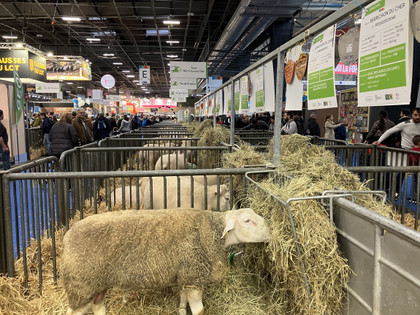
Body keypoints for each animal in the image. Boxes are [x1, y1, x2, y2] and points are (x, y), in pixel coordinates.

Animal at [61, 209, 272, 314]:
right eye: (247, 221)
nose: (271, 232)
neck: (212, 230)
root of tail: (67, 236)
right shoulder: (194, 277)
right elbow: (199, 311)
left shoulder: (186, 276)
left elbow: (183, 300)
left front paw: (181, 310)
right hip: (80, 286)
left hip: (97, 284)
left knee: (97, 306)